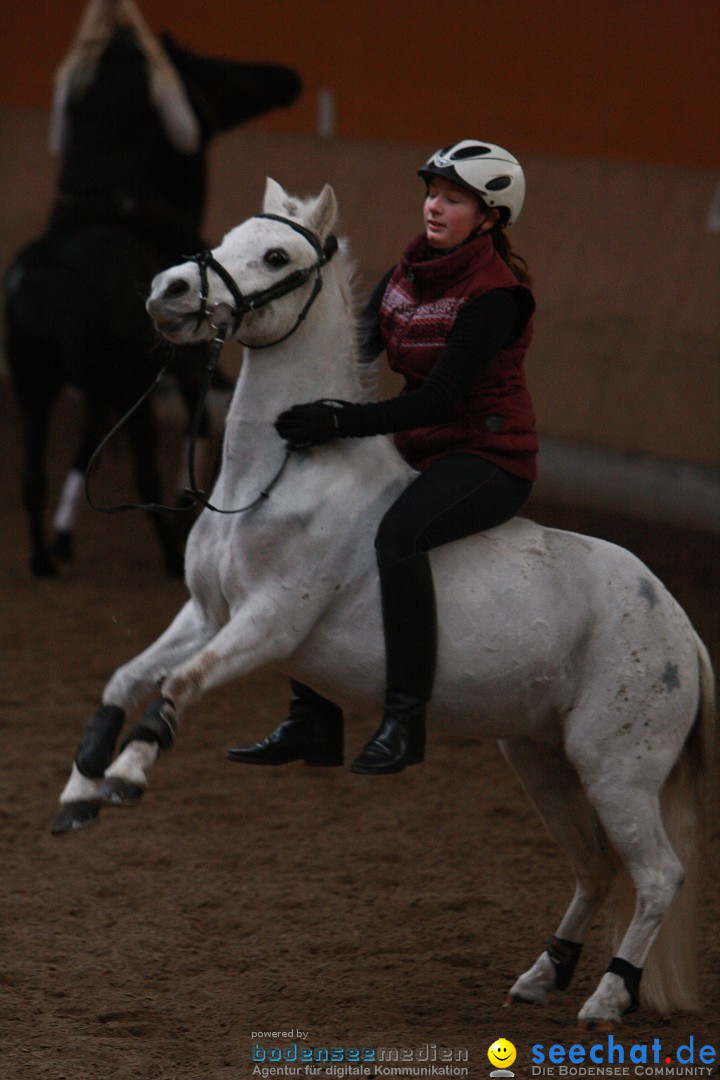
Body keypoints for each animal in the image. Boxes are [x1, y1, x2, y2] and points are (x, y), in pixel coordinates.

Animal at [52, 181, 716, 1032]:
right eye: (228, 238)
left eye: (276, 256)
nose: (167, 291)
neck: (281, 473)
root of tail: (682, 629)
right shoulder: (209, 613)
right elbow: (126, 678)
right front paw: (79, 791)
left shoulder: (268, 623)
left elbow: (178, 684)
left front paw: (128, 775)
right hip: (541, 758)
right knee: (597, 867)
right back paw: (544, 974)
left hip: (617, 768)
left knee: (659, 874)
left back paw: (608, 994)